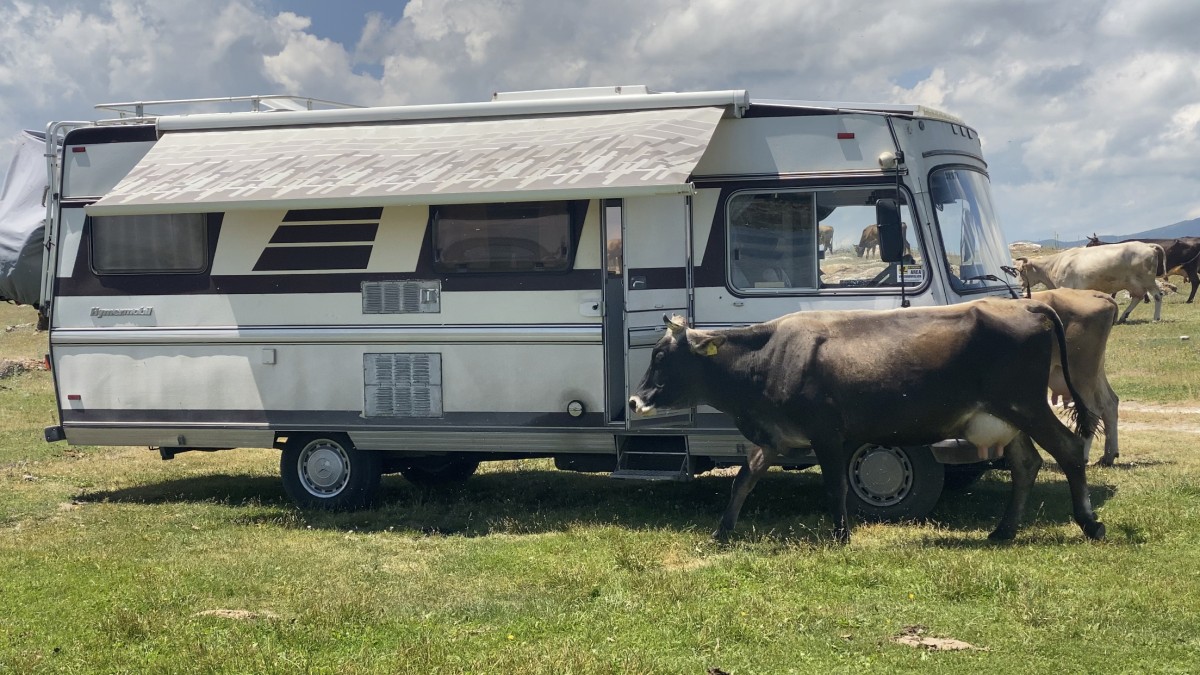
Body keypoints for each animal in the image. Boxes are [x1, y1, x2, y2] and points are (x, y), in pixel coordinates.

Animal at [628, 302, 1104, 542]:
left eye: (661, 355)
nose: (634, 400)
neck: (770, 357)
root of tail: (1028, 305)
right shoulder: (773, 436)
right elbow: (744, 479)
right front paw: (722, 531)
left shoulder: (827, 434)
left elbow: (835, 486)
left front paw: (841, 536)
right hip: (1005, 417)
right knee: (1026, 464)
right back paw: (1003, 531)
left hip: (1026, 405)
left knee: (1068, 449)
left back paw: (1090, 524)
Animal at [1017, 241, 1166, 324]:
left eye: (1020, 270)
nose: (1018, 286)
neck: (1053, 265)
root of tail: (1147, 245)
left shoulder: (1066, 286)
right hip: (1134, 283)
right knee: (1137, 297)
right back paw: (1123, 317)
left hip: (1147, 280)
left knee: (1157, 295)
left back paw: (1156, 318)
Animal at [1036, 285, 1118, 466]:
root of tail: (1095, 294)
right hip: (1095, 370)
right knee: (1110, 403)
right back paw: (1108, 456)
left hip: (1081, 371)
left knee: (1091, 410)